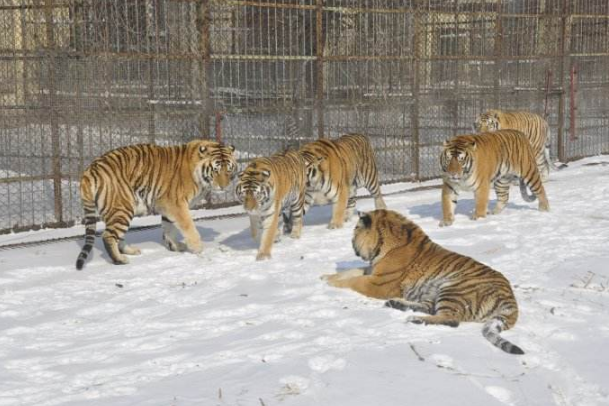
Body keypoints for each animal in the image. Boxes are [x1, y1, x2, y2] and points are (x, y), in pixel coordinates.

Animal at [75, 140, 236, 270]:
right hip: (122, 208)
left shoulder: (167, 206)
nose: (224, 186)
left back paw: (131, 251)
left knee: (117, 236)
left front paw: (175, 246)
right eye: (215, 170)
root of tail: (89, 170)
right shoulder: (177, 205)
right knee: (108, 236)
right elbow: (188, 226)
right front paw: (198, 248)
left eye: (228, 170)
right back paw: (120, 260)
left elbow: (169, 228)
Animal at [320, 211, 524, 354]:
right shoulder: (372, 271)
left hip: (453, 288)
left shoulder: (378, 284)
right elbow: (351, 271)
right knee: (428, 308)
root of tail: (511, 302)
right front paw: (325, 276)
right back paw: (397, 305)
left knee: (450, 319)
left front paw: (330, 284)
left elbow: (353, 280)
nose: (351, 241)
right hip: (433, 291)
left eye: (355, 231)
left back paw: (414, 319)